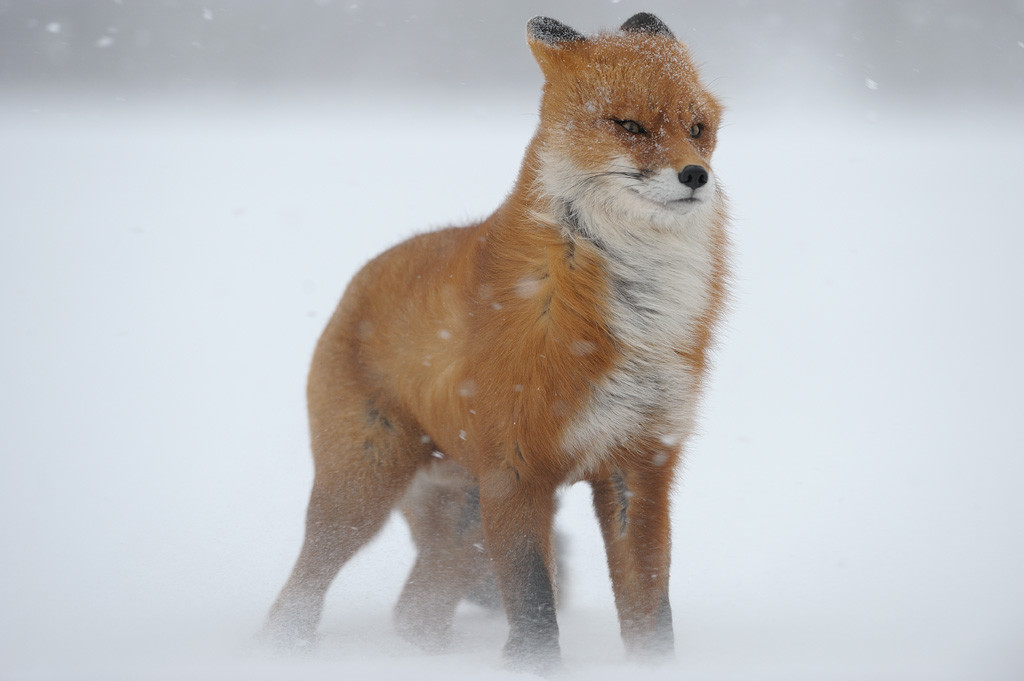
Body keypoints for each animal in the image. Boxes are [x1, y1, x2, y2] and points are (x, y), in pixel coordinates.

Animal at [264, 11, 729, 675]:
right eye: (630, 125)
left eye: (698, 129)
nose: (696, 175)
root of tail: (362, 276)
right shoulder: (516, 470)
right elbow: (534, 604)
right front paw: (534, 667)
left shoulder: (639, 466)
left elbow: (651, 610)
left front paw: (656, 669)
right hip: (362, 491)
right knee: (299, 593)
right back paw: (285, 650)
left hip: (463, 515)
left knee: (415, 612)